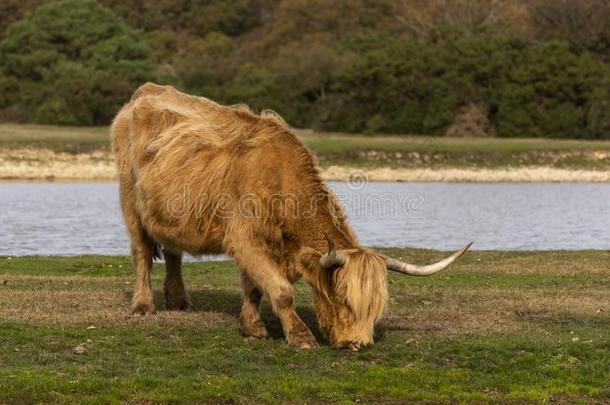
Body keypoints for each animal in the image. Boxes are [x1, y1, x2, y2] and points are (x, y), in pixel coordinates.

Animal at [110, 83, 470, 350]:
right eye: (343, 297)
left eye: (376, 306)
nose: (357, 343)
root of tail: (145, 92)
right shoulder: (245, 239)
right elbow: (280, 290)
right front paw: (299, 336)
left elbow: (255, 287)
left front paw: (252, 327)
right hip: (130, 202)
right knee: (142, 253)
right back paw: (144, 306)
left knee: (173, 251)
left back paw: (178, 300)